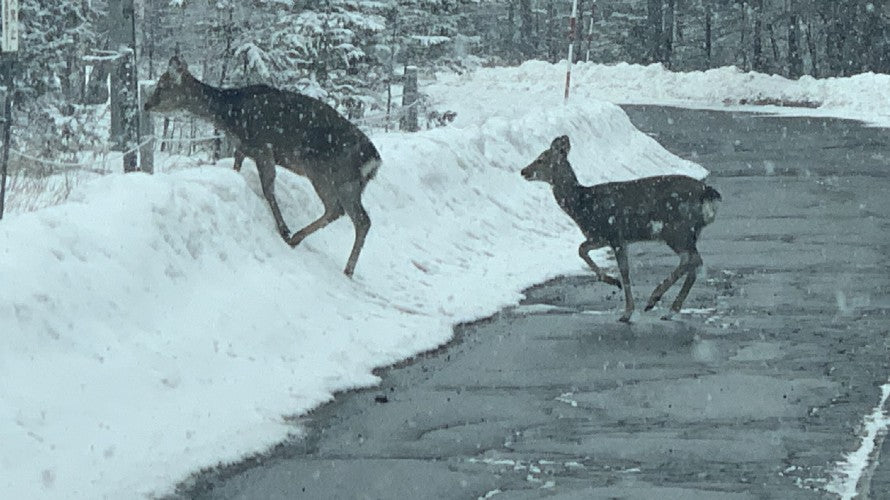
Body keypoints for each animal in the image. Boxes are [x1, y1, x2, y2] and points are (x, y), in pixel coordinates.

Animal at [145, 57, 378, 278]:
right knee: (356, 217)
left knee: (345, 213)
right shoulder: (243, 148)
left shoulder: (262, 147)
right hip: (350, 183)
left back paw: (303, 243)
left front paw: (283, 229)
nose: (147, 104)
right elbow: (237, 168)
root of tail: (373, 160)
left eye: (162, 85)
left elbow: (268, 189)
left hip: (327, 174)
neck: (229, 115)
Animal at [520, 136, 720, 324]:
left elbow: (623, 271)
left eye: (541, 159)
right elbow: (582, 249)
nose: (523, 171)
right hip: (689, 232)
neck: (583, 205)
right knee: (695, 263)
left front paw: (627, 311)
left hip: (676, 230)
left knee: (691, 260)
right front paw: (612, 282)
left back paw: (655, 299)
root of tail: (708, 192)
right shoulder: (604, 238)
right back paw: (670, 310)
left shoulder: (614, 234)